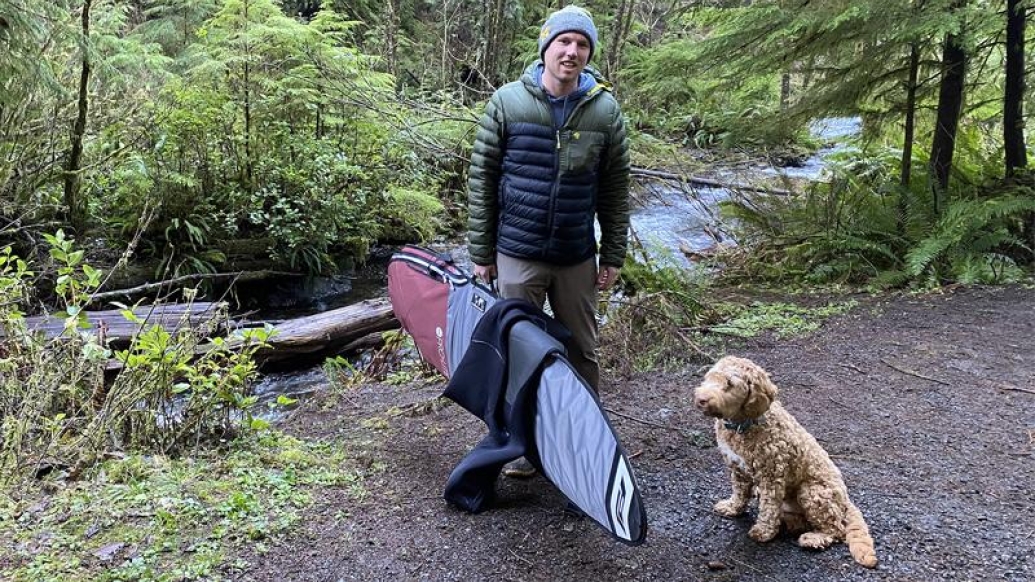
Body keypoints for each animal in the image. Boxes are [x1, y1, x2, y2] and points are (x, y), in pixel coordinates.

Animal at [691, 354, 877, 567]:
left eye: (730, 384)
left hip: (813, 492)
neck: (743, 424)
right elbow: (739, 493)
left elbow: (769, 507)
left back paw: (814, 538)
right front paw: (732, 507)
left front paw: (763, 531)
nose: (701, 399)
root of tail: (846, 501)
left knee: (836, 529)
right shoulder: (737, 468)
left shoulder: (771, 475)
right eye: (710, 377)